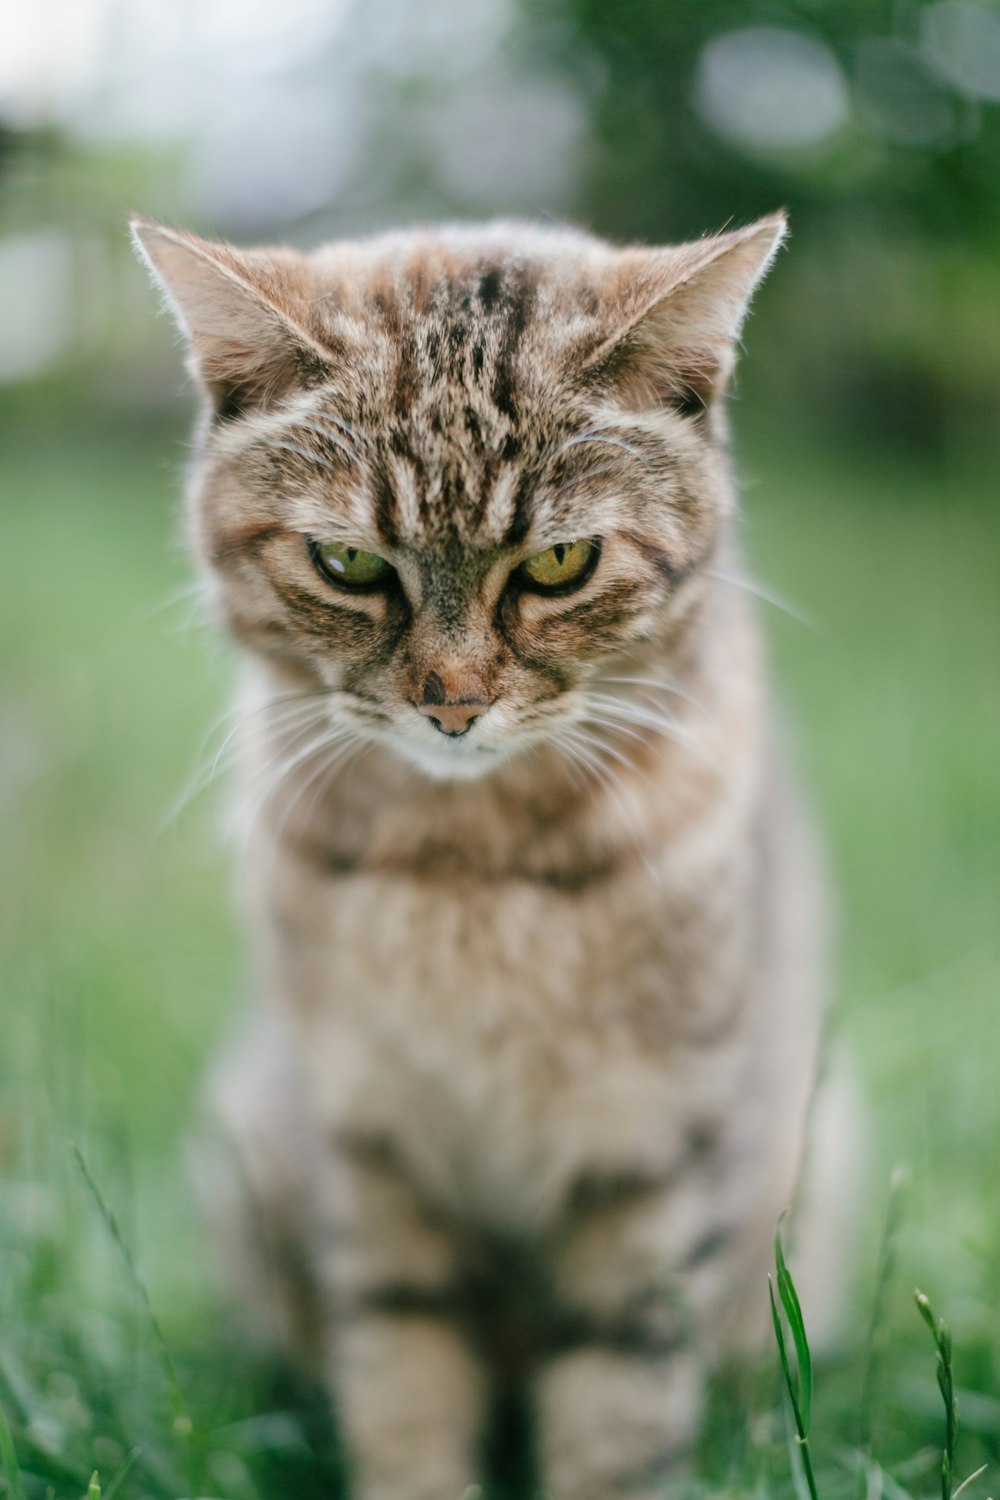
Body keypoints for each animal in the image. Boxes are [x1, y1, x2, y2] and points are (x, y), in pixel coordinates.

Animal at [132, 211, 851, 1500]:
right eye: (349, 566)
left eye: (558, 565)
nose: (452, 705)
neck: (467, 871)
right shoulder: (367, 1138)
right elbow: (401, 1376)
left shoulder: (649, 1155)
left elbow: (618, 1410)